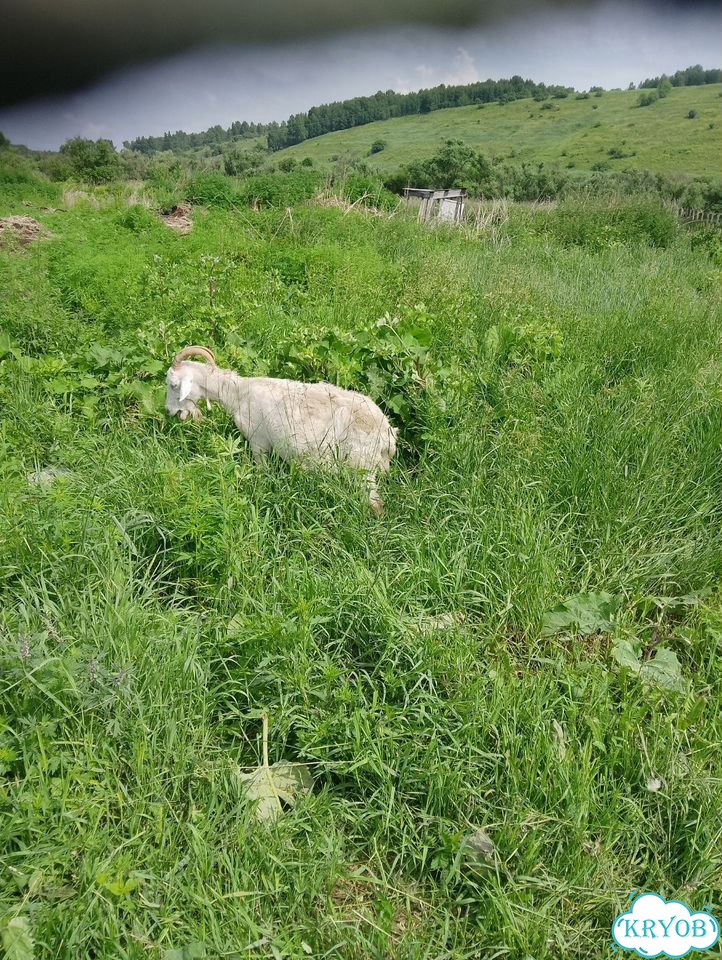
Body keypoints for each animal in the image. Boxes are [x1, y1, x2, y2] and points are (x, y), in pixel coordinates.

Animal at [166, 345, 397, 513]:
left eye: (173, 385)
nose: (170, 412)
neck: (238, 393)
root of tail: (387, 433)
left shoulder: (258, 442)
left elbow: (262, 470)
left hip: (362, 467)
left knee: (375, 504)